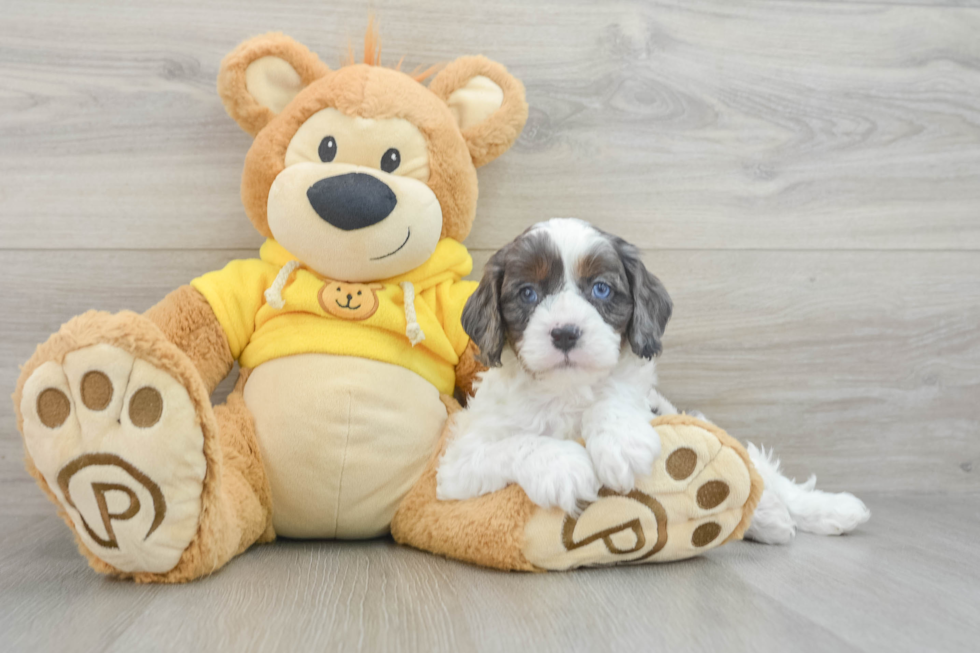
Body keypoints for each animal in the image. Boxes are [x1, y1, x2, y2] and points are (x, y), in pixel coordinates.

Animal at [438, 219, 672, 516]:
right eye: (527, 293)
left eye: (601, 289)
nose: (565, 334)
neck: (564, 390)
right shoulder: (458, 464)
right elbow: (515, 443)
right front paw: (562, 467)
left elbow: (616, 393)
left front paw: (621, 440)